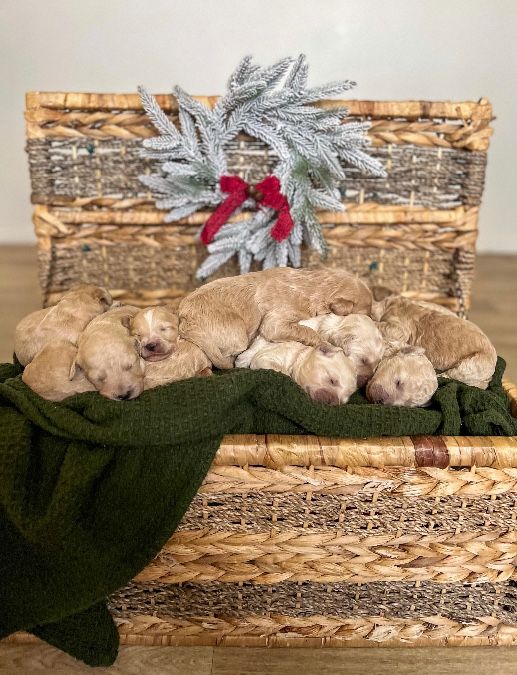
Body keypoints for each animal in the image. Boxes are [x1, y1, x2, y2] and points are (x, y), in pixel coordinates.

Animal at [169, 268, 370, 380]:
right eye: (366, 312)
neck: (313, 285)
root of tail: (183, 320)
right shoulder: (275, 322)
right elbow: (306, 331)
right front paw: (327, 343)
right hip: (237, 335)